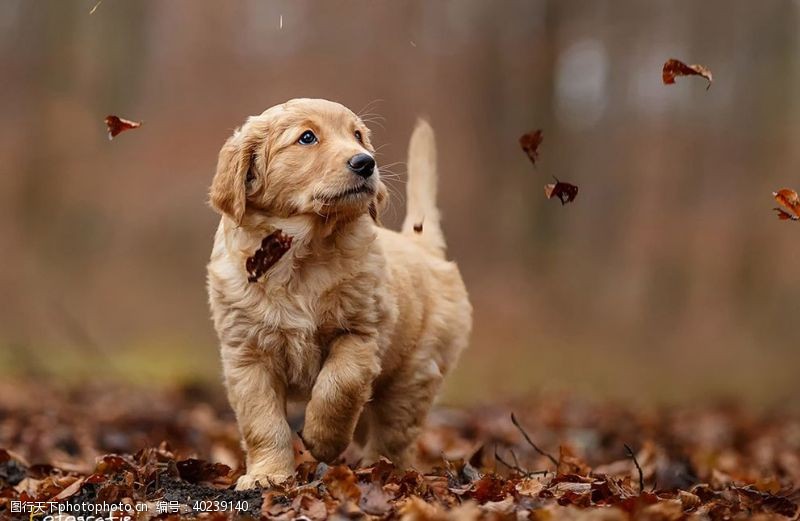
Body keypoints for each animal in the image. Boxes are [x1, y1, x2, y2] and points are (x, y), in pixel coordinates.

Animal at [206, 97, 472, 488]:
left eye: (358, 135)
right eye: (307, 137)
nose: (366, 162)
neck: (301, 253)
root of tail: (422, 245)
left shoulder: (360, 334)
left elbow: (338, 386)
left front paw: (322, 441)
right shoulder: (247, 355)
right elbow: (262, 421)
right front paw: (267, 475)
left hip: (414, 372)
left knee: (394, 433)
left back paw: (383, 472)